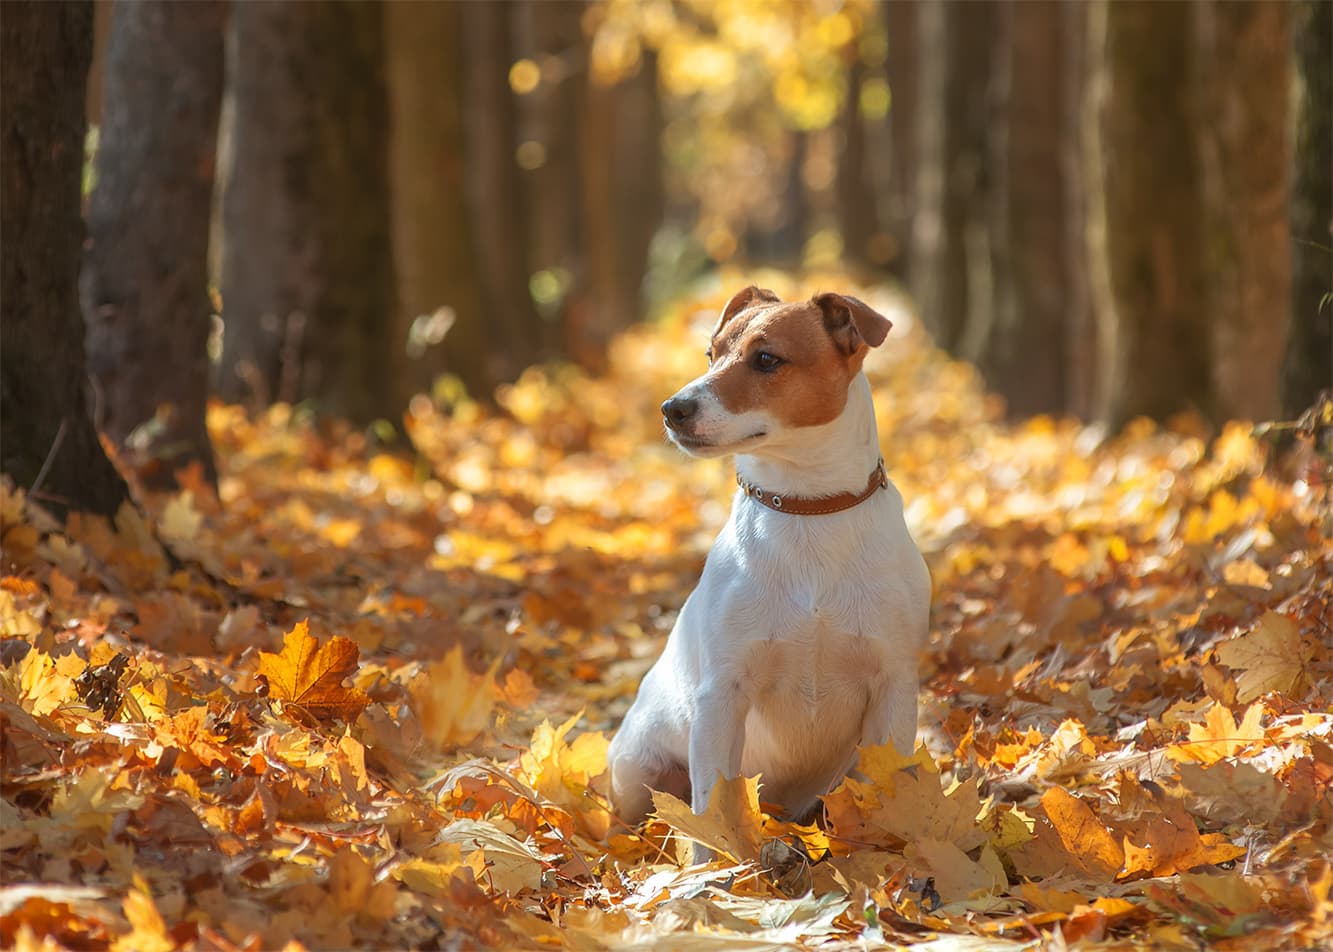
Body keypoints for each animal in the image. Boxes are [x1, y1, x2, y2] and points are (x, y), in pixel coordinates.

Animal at [610, 284, 933, 837]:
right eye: (710, 354)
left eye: (766, 359)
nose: (672, 408)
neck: (807, 509)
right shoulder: (722, 697)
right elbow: (714, 811)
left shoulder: (892, 687)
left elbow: (883, 793)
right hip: (637, 770)